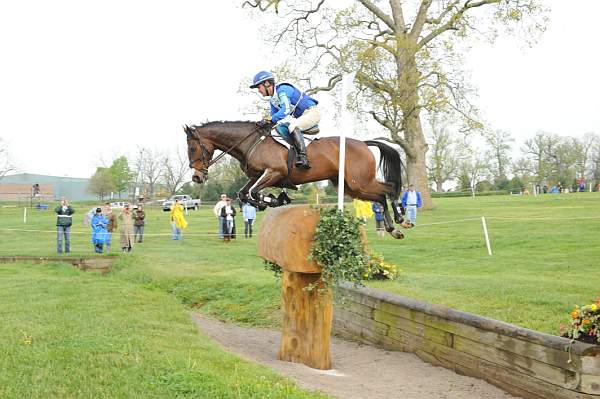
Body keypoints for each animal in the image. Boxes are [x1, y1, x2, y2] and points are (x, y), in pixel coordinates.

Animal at [185, 122, 406, 239]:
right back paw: (393, 228)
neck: (251, 143)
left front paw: (274, 200)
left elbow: (254, 193)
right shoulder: (257, 176)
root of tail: (363, 143)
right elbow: (243, 194)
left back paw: (401, 219)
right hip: (350, 187)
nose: (197, 177)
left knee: (388, 189)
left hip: (358, 181)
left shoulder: (274, 172)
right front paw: (272, 201)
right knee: (380, 196)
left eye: (193, 148)